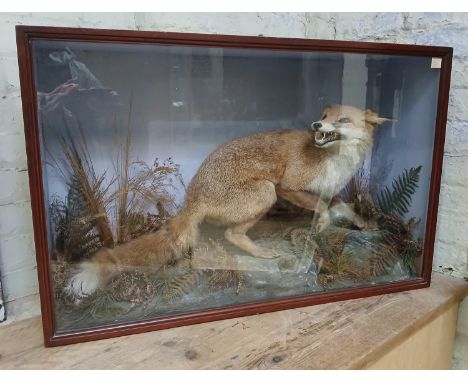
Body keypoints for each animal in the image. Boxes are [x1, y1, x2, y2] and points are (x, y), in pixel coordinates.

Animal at [66, 105, 388, 302]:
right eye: (324, 114)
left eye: (342, 119)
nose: (315, 124)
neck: (335, 160)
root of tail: (193, 198)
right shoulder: (287, 186)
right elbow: (322, 210)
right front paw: (320, 224)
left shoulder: (328, 192)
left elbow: (345, 209)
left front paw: (367, 225)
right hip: (266, 193)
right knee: (232, 234)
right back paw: (260, 252)